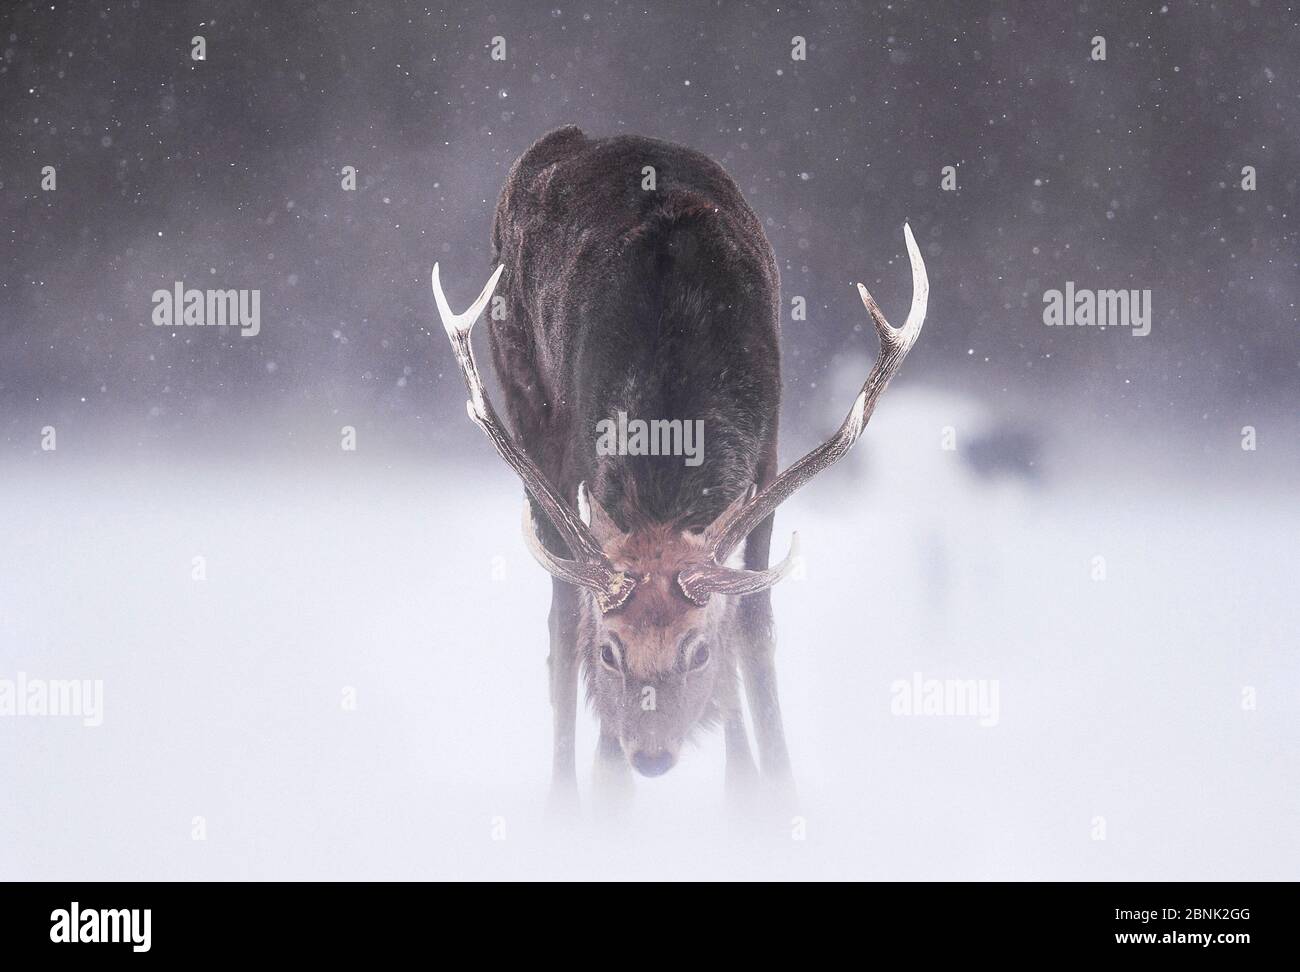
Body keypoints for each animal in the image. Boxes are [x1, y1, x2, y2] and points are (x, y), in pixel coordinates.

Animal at [431, 126, 928, 811]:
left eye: (696, 652)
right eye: (612, 653)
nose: (651, 758)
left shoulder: (766, 460)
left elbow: (752, 626)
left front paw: (765, 798)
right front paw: (609, 796)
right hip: (529, 406)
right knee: (562, 614)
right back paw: (565, 802)